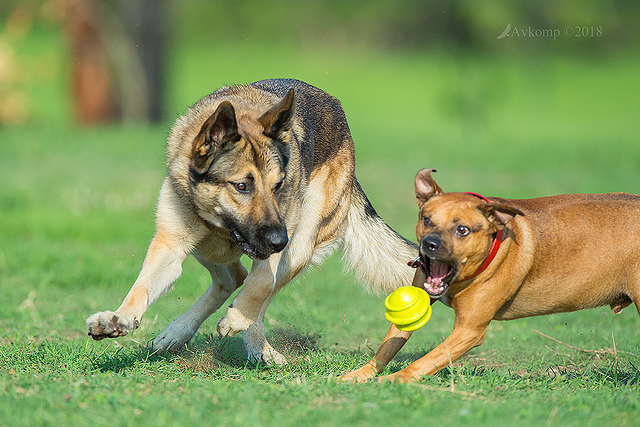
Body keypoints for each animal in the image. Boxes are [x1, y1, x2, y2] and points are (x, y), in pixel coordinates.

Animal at [85, 79, 418, 364]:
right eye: (242, 186)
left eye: (278, 186)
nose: (279, 241)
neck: (221, 224)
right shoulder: (171, 245)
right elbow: (141, 288)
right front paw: (117, 319)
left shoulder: (278, 244)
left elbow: (261, 284)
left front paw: (236, 320)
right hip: (206, 249)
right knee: (233, 278)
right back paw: (177, 334)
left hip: (300, 246)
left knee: (253, 286)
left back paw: (255, 343)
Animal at [342, 169, 640, 382]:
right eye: (427, 219)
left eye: (462, 230)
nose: (430, 244)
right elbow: (388, 346)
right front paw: (358, 376)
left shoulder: (469, 330)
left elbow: (425, 361)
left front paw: (392, 380)